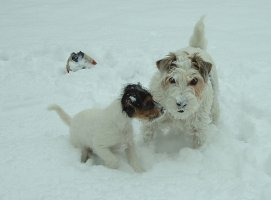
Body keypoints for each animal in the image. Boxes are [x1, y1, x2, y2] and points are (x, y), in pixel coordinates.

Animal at [143, 17, 220, 148]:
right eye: (172, 80)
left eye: (194, 80)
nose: (181, 104)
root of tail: (196, 47)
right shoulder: (153, 118)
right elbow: (148, 134)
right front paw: (145, 149)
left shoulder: (199, 127)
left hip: (214, 103)